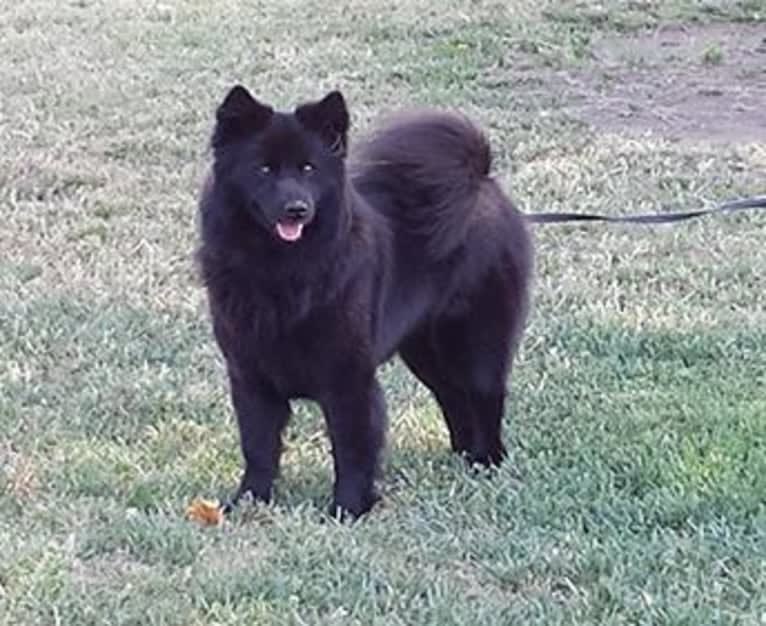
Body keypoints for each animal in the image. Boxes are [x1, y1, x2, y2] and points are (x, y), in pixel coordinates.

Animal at [198, 88, 536, 516]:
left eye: (308, 169)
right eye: (263, 170)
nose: (297, 208)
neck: (280, 270)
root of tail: (482, 182)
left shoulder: (348, 378)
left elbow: (352, 449)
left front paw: (349, 508)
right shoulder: (251, 375)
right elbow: (257, 446)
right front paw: (248, 501)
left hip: (477, 344)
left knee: (485, 397)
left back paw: (487, 461)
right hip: (425, 350)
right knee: (453, 397)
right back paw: (462, 459)